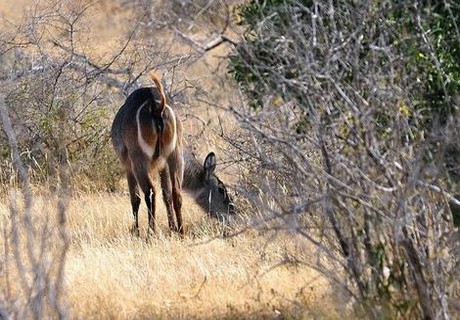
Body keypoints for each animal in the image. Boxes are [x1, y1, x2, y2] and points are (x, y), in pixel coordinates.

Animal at [110, 72, 234, 236]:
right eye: (221, 189)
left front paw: (135, 232)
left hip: (139, 160)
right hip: (174, 154)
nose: (232, 212)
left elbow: (135, 199)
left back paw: (151, 233)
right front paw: (172, 228)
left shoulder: (128, 165)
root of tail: (157, 106)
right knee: (176, 193)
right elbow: (167, 195)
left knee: (150, 192)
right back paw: (181, 232)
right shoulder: (163, 166)